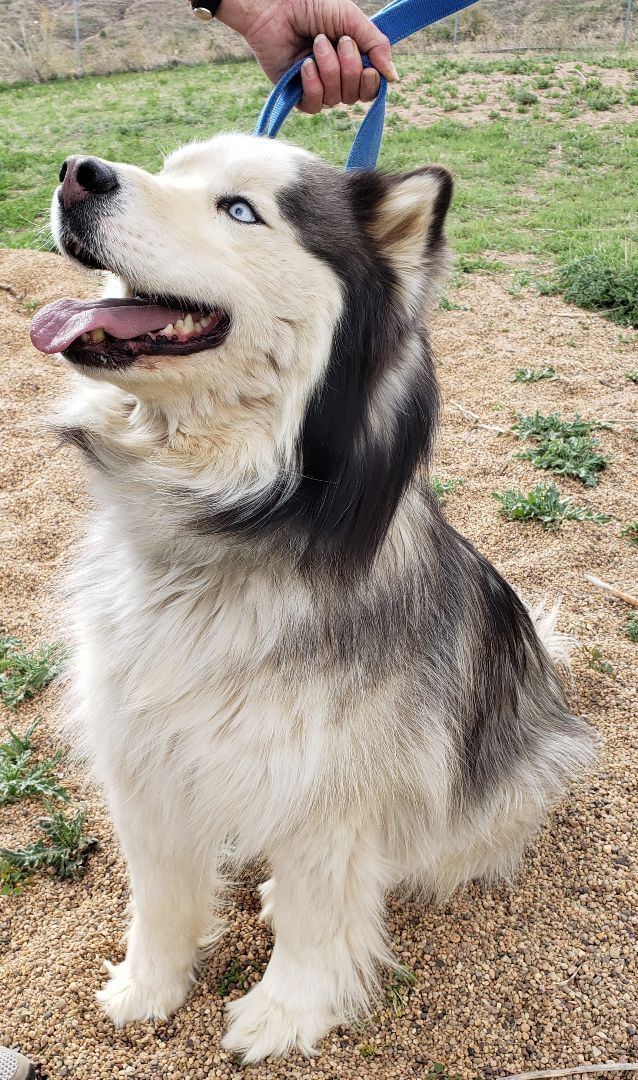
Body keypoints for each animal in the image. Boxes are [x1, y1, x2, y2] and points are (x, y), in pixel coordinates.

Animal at [29, 130, 595, 1058]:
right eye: (171, 167)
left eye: (240, 209)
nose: (79, 175)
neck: (228, 532)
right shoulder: (142, 758)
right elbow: (161, 897)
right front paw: (149, 989)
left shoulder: (331, 788)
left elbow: (318, 911)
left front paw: (286, 1013)